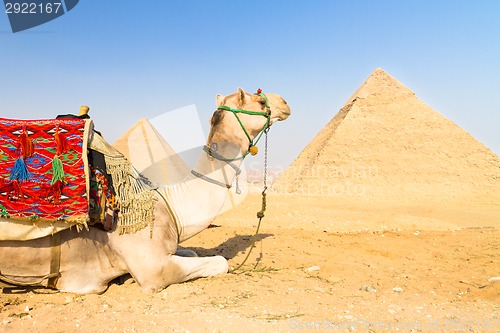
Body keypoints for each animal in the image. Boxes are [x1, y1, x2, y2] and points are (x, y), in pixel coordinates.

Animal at [0, 88, 290, 294]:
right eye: (260, 101)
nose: (285, 103)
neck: (169, 205)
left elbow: (195, 252)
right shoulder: (153, 269)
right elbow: (221, 262)